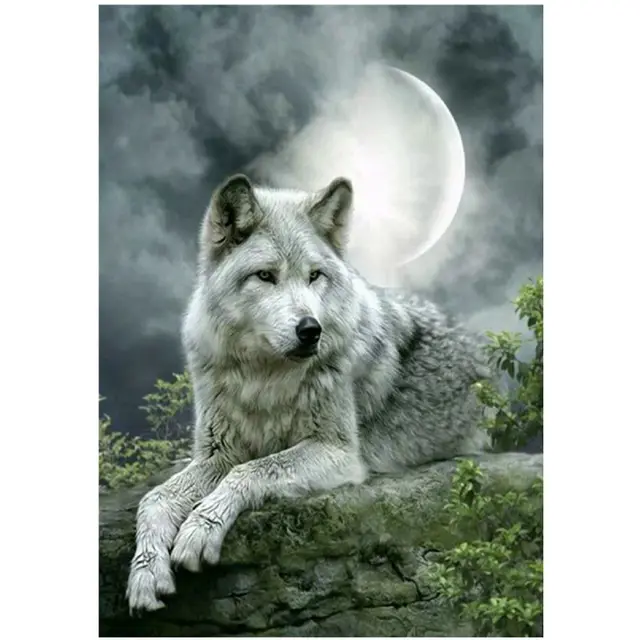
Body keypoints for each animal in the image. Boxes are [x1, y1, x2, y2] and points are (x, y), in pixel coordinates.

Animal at [126, 174, 492, 613]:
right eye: (266, 276)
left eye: (315, 275)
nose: (310, 330)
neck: (264, 378)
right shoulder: (218, 454)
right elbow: (154, 499)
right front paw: (146, 573)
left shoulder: (338, 453)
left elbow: (249, 471)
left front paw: (200, 529)